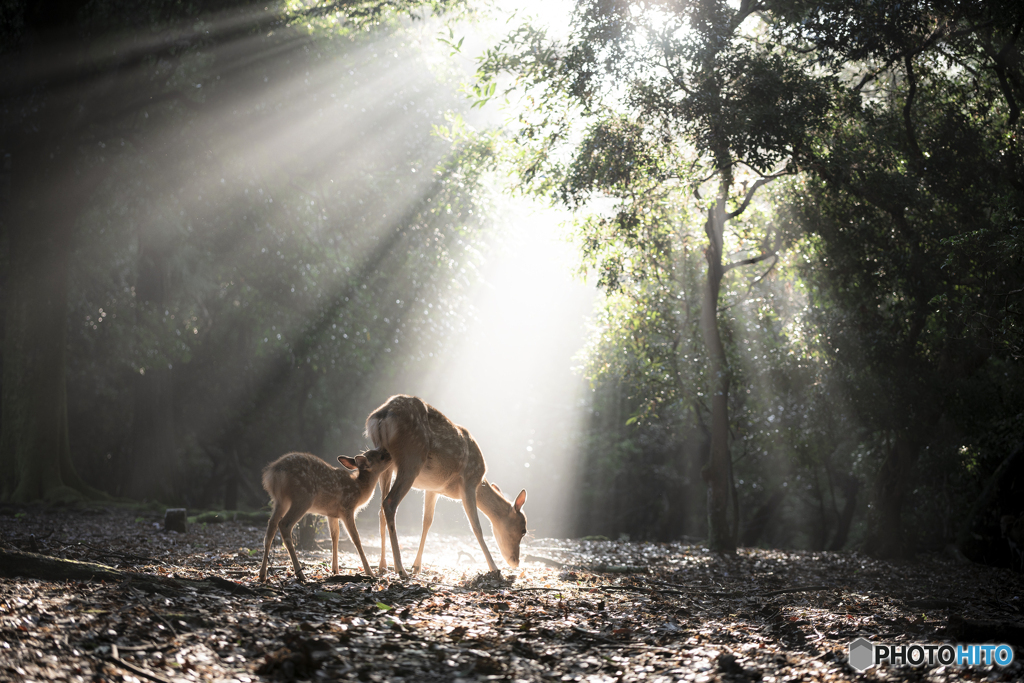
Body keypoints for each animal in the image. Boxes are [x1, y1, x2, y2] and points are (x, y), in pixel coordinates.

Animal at [260, 448, 391, 581]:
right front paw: (370, 572)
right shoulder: (347, 508)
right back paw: (300, 574)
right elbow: (356, 538)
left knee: (271, 526)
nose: (389, 454)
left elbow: (335, 536)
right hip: (303, 497)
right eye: (381, 457)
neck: (359, 488)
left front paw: (335, 570)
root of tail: (274, 472)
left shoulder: (331, 514)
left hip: (280, 501)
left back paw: (262, 574)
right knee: (284, 524)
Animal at [366, 393, 528, 581]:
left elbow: (427, 521)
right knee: (389, 503)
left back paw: (382, 566)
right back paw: (400, 569)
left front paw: (417, 566)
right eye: (523, 529)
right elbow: (476, 527)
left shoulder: (433, 489)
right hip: (411, 458)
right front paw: (494, 569)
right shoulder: (469, 481)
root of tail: (381, 415)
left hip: (387, 463)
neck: (481, 481)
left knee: (380, 510)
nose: (516, 561)